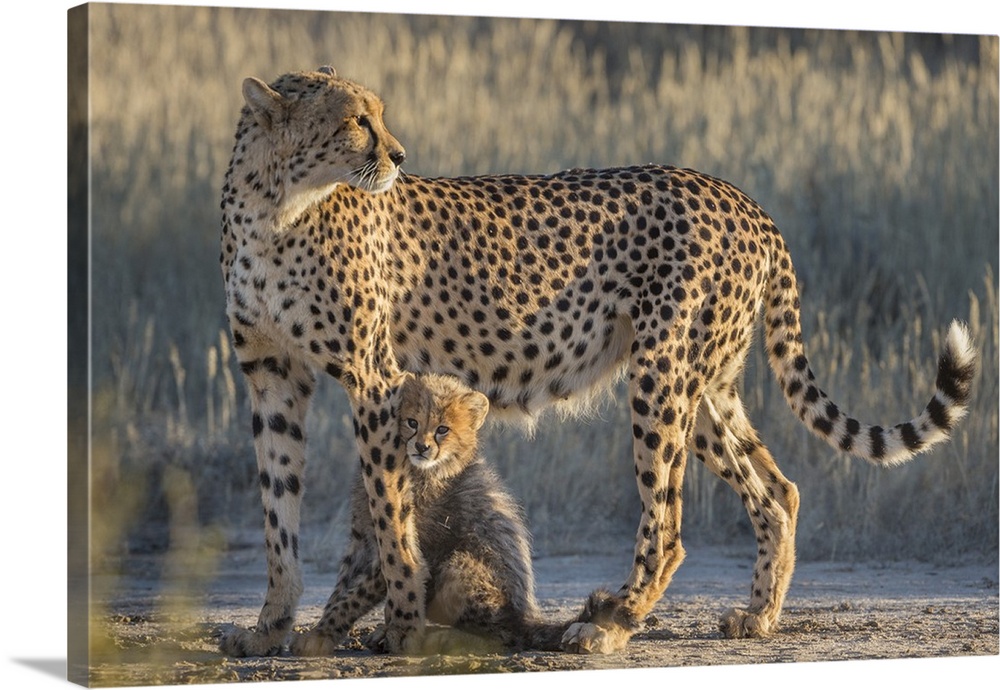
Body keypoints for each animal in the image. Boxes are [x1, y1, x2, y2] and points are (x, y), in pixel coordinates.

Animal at [217, 68, 976, 656]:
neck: (275, 204)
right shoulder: (272, 375)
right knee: (776, 490)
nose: (399, 156)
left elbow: (388, 508)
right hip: (705, 387)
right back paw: (757, 616)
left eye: (377, 116)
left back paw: (613, 623)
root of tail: (742, 198)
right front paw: (270, 626)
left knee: (668, 522)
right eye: (356, 121)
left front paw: (400, 622)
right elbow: (277, 511)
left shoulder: (373, 377)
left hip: (660, 377)